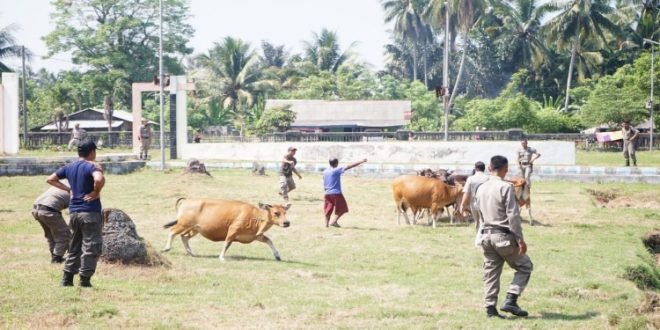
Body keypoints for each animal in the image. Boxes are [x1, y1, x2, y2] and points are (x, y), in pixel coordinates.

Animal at [161, 199, 290, 260]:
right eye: (276, 212)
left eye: (285, 212)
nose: (287, 223)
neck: (254, 216)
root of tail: (186, 200)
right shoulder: (233, 230)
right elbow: (227, 243)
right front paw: (222, 257)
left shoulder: (256, 235)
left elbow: (269, 241)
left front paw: (277, 256)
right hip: (183, 224)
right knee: (172, 231)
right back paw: (167, 248)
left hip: (195, 229)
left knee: (184, 237)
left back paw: (191, 253)